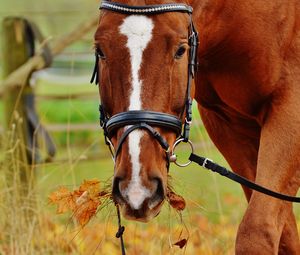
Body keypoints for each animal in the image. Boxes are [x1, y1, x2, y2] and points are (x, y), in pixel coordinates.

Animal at [94, 0, 300, 254]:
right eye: (100, 50)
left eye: (181, 50)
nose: (137, 189)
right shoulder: (228, 125)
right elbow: (285, 236)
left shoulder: (291, 109)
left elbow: (258, 230)